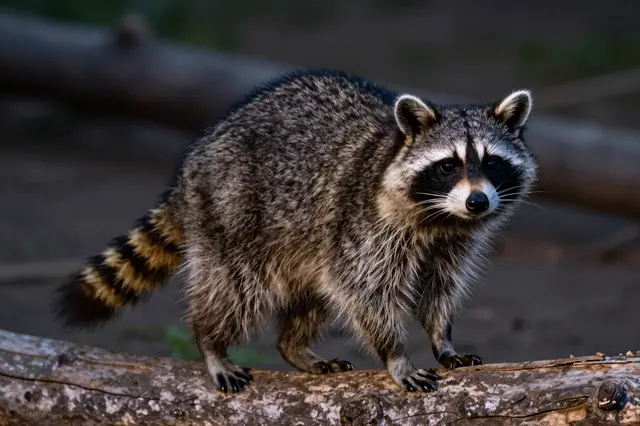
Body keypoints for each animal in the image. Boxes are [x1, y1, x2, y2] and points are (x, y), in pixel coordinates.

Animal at [54, 69, 537, 393]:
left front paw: (442, 339)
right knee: (233, 288)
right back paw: (211, 342)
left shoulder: (453, 243)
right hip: (232, 213)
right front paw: (395, 355)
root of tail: (194, 161)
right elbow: (367, 293)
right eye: (449, 165)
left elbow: (439, 288)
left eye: (492, 162)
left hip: (304, 241)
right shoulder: (366, 226)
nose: (478, 202)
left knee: (312, 296)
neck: (441, 218)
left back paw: (294, 345)